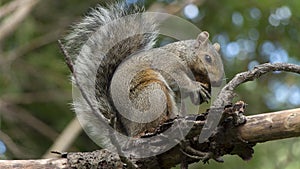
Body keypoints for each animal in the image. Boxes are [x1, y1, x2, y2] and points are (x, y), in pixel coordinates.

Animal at [62, 1, 223, 138]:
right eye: (208, 58)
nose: (218, 81)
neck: (182, 54)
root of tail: (129, 131)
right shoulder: (168, 64)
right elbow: (177, 78)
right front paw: (196, 87)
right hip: (152, 93)